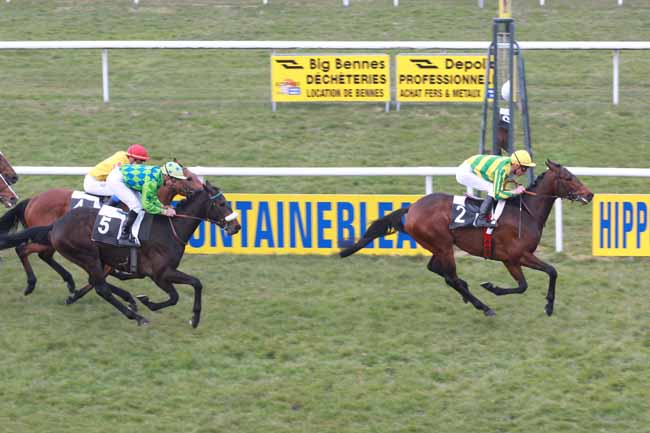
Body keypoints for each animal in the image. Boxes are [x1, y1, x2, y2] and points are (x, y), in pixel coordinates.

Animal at [0, 165, 202, 294]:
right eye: (189, 178)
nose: (204, 188)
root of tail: (32, 200)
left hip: (49, 239)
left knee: (40, 254)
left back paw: (68, 282)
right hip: (47, 237)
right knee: (25, 250)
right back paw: (33, 283)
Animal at [0, 181, 240, 326]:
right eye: (221, 203)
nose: (236, 226)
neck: (168, 228)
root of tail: (57, 224)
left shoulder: (158, 272)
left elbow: (191, 286)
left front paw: (192, 317)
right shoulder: (160, 273)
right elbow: (179, 293)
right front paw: (150, 303)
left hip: (86, 257)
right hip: (87, 255)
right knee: (101, 288)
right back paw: (136, 315)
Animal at [340, 160, 592, 316]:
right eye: (568, 177)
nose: (589, 194)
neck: (525, 212)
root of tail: (411, 208)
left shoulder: (516, 258)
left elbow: (547, 274)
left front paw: (548, 305)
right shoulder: (514, 256)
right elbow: (530, 282)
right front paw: (494, 288)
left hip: (439, 246)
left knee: (439, 271)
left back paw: (468, 291)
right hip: (442, 245)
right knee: (450, 278)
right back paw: (483, 306)